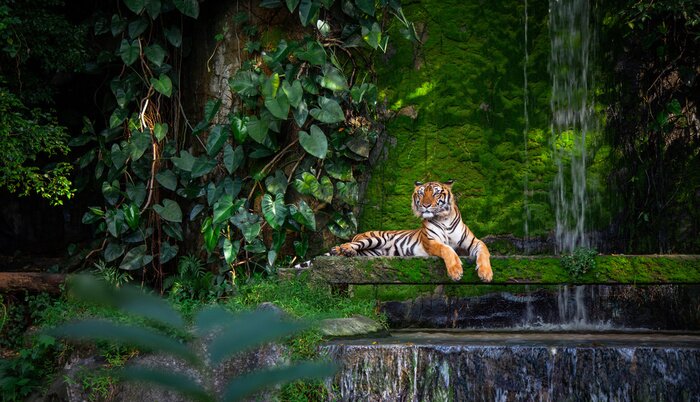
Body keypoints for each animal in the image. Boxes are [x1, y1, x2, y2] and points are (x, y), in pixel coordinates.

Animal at [330, 180, 493, 282]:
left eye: (435, 193)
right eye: (421, 193)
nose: (425, 205)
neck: (443, 219)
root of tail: (358, 234)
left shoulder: (473, 241)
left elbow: (484, 250)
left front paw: (486, 273)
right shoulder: (431, 241)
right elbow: (447, 249)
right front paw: (456, 271)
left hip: (373, 252)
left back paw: (346, 252)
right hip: (375, 238)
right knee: (349, 244)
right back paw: (342, 249)